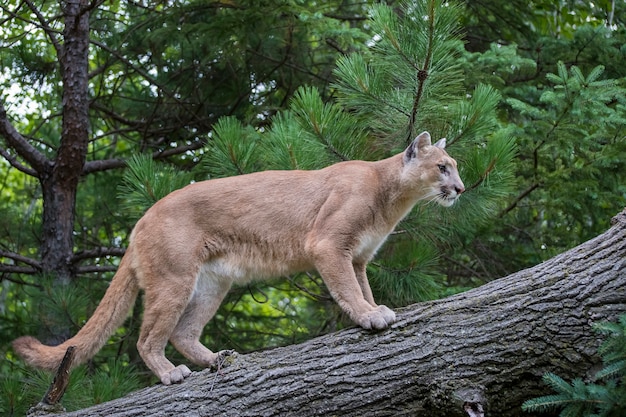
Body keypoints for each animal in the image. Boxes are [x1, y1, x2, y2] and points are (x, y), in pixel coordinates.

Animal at [13, 130, 464, 384]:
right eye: (443, 167)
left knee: (182, 332)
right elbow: (349, 291)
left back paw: (218, 360)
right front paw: (369, 317)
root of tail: (143, 217)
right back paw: (171, 374)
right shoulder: (329, 245)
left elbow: (364, 288)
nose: (461, 188)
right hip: (174, 279)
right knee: (148, 337)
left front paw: (375, 309)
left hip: (212, 283)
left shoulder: (358, 258)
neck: (392, 197)